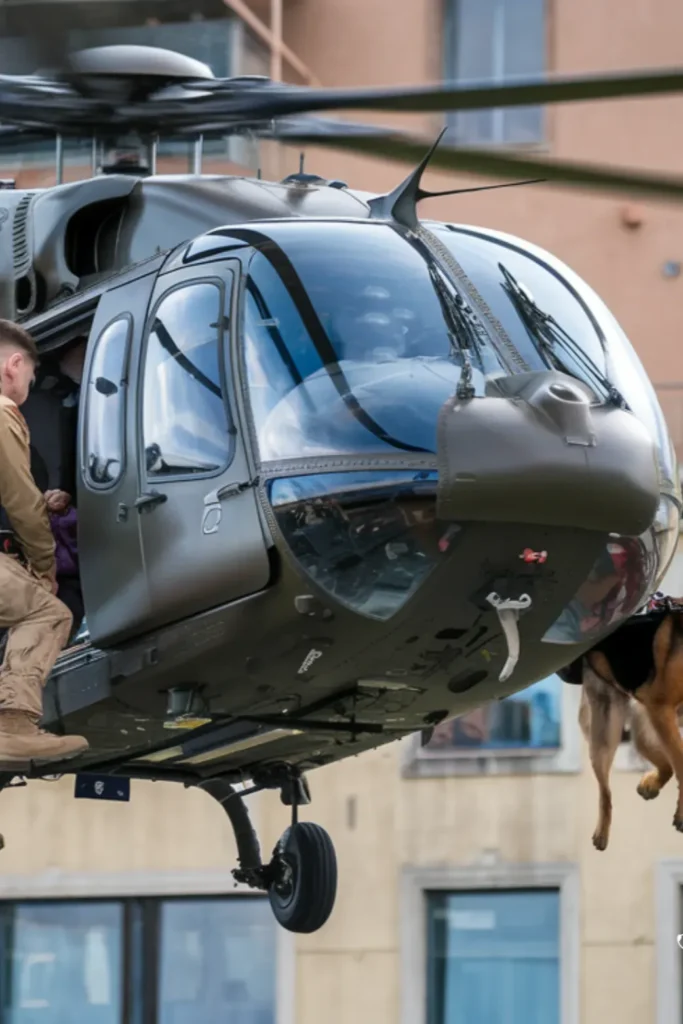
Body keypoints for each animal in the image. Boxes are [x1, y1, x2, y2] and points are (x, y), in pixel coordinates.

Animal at [557, 598, 683, 851]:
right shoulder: (662, 710)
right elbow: (682, 767)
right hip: (609, 734)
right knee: (606, 793)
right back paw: (602, 833)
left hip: (647, 730)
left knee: (666, 764)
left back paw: (651, 784)